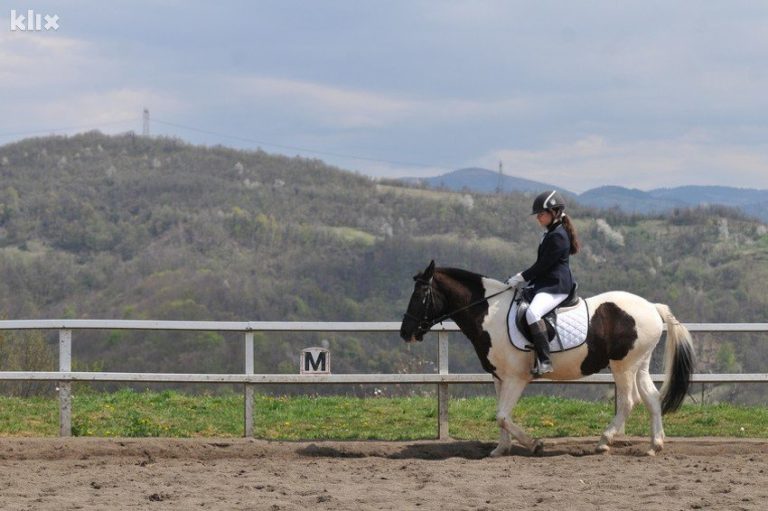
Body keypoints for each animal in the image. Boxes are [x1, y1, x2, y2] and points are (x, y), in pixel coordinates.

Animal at [402, 262, 696, 458]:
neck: (490, 314)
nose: (406, 333)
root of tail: (652, 307)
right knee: (652, 399)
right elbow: (501, 415)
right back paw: (654, 445)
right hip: (639, 364)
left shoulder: (516, 378)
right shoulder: (499, 377)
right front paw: (501, 449)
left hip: (623, 366)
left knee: (628, 401)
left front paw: (534, 444)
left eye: (419, 295)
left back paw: (604, 441)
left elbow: (502, 415)